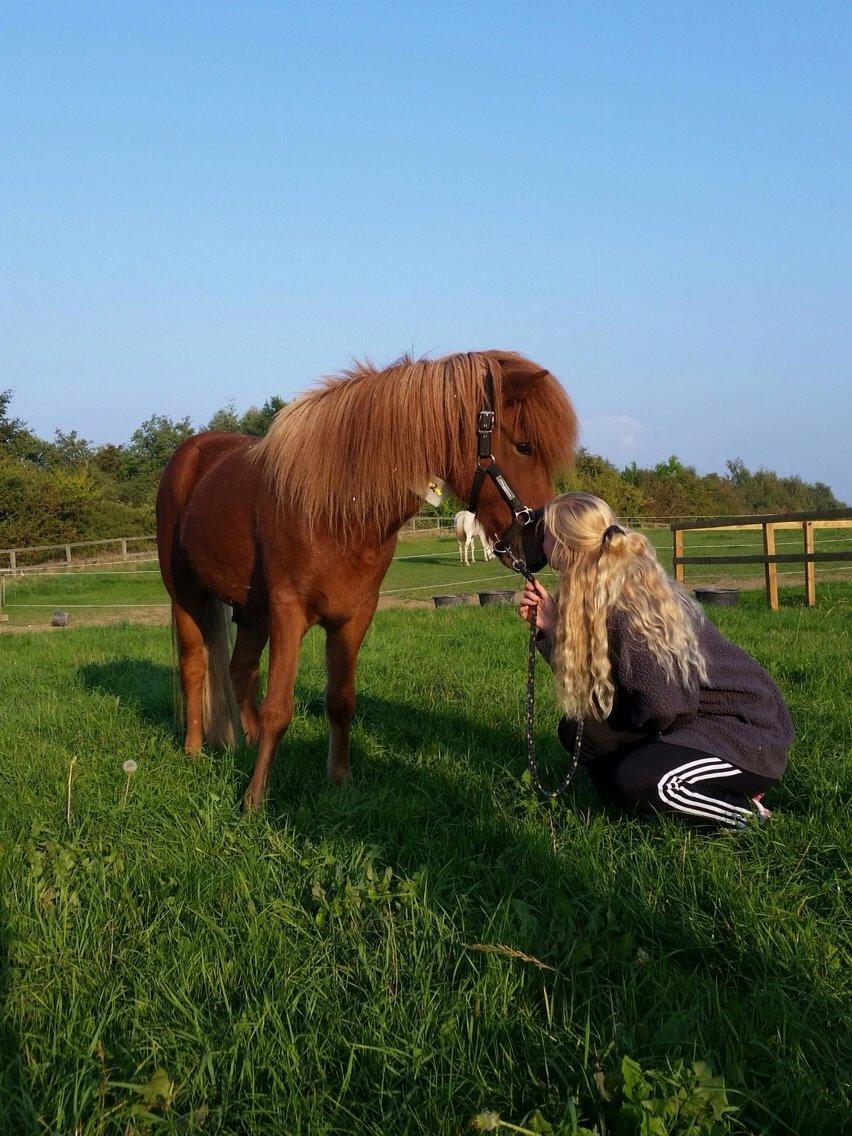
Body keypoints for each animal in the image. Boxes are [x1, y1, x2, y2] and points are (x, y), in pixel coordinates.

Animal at [156, 352, 577, 808]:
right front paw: (253, 799)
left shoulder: (354, 616)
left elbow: (341, 702)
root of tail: (192, 452)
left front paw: (340, 780)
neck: (337, 509)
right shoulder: (288, 613)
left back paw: (245, 741)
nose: (538, 547)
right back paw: (193, 749)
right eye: (523, 446)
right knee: (194, 666)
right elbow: (278, 709)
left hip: (253, 611)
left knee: (240, 670)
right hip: (187, 595)